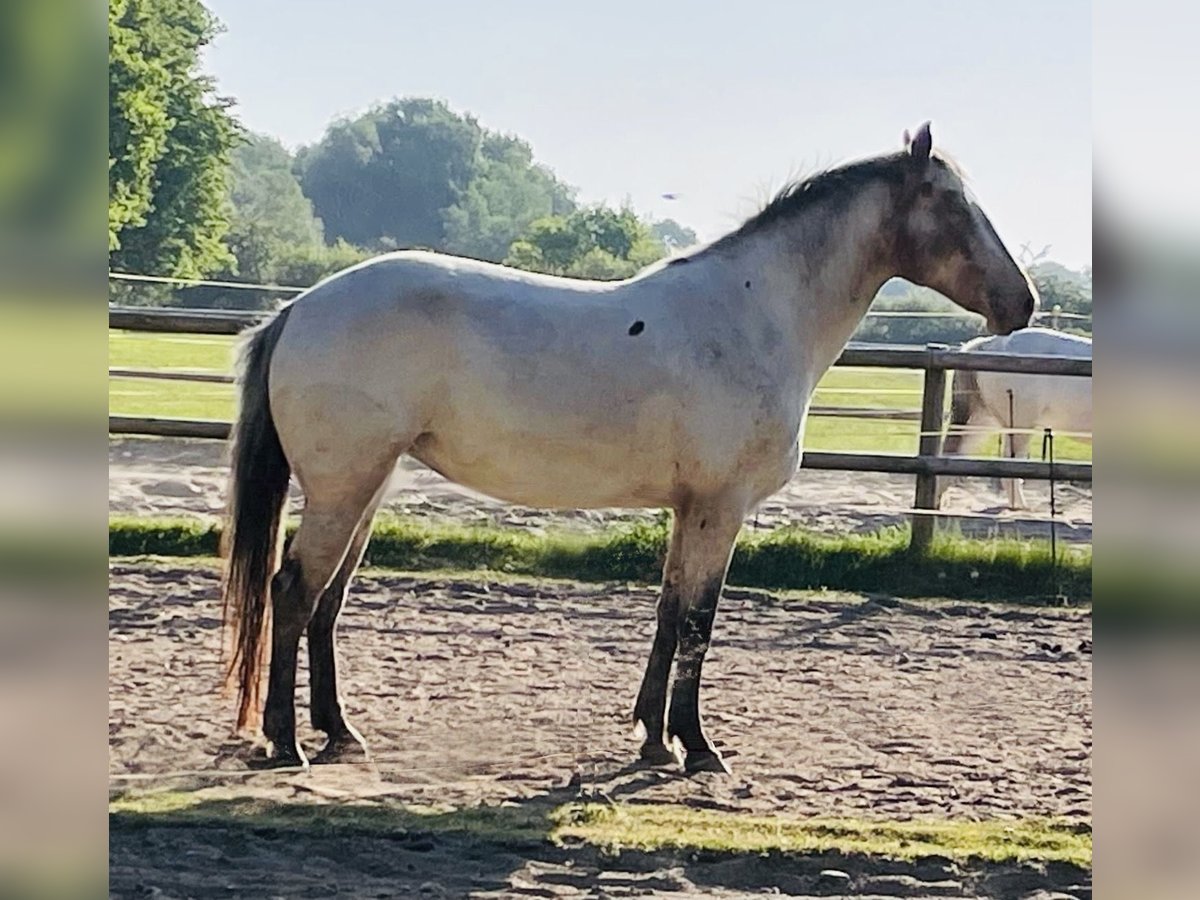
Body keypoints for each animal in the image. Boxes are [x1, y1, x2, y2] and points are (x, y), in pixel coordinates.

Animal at [225, 121, 1041, 777]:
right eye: (955, 204)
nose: (1024, 302)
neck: (753, 314)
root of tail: (299, 308)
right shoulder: (720, 509)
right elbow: (698, 623)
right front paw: (700, 749)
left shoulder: (689, 510)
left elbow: (668, 612)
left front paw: (654, 740)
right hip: (343, 488)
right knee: (293, 592)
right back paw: (286, 742)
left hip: (367, 487)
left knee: (327, 601)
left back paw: (339, 733)